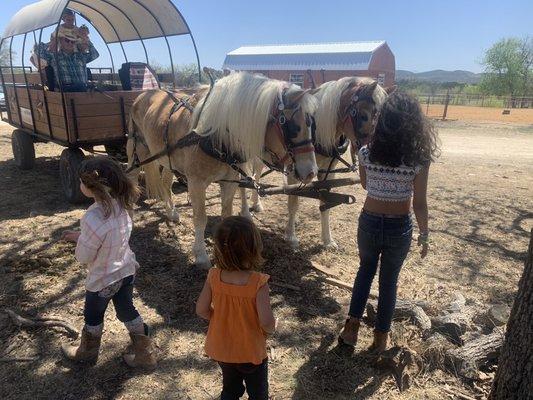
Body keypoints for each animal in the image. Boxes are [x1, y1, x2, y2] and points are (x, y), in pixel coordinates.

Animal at [125, 71, 316, 268]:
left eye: (312, 124)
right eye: (293, 127)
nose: (310, 172)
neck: (213, 134)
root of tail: (144, 94)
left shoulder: (229, 182)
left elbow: (226, 216)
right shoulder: (196, 183)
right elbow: (200, 218)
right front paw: (201, 255)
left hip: (167, 159)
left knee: (165, 183)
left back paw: (171, 213)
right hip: (137, 151)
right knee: (131, 178)